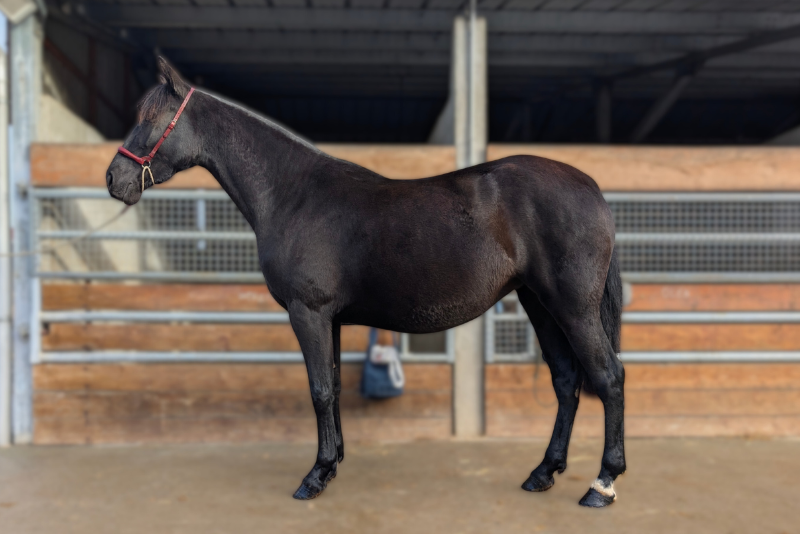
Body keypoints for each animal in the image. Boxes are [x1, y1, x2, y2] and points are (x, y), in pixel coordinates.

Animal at [105, 58, 625, 507]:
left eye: (152, 119)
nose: (114, 179)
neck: (294, 194)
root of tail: (593, 189)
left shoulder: (308, 312)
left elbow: (319, 390)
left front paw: (314, 477)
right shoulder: (329, 318)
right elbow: (333, 386)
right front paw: (333, 464)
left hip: (573, 308)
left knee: (608, 377)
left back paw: (602, 484)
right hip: (539, 304)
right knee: (566, 381)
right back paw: (543, 472)